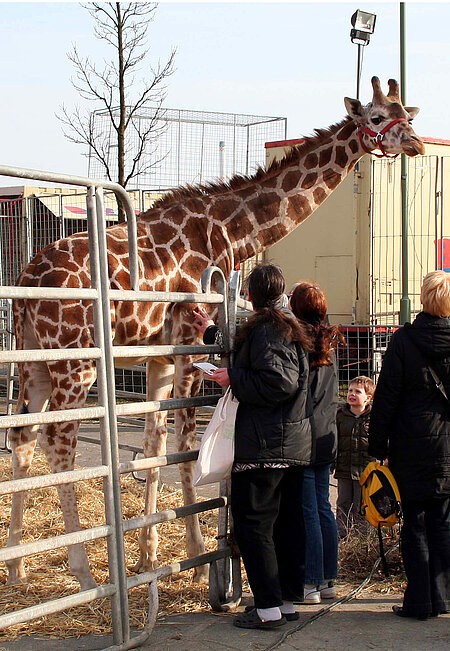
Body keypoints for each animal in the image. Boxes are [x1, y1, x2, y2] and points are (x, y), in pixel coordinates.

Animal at [5, 77, 424, 592]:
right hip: (75, 360)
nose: (416, 143)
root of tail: (25, 283)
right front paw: (198, 554)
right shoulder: (189, 342)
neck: (231, 230)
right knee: (59, 442)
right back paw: (83, 574)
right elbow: (184, 448)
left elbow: (153, 448)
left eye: (408, 113)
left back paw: (18, 566)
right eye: (376, 117)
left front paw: (148, 556)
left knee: (24, 438)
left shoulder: (159, 357)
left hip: (33, 359)